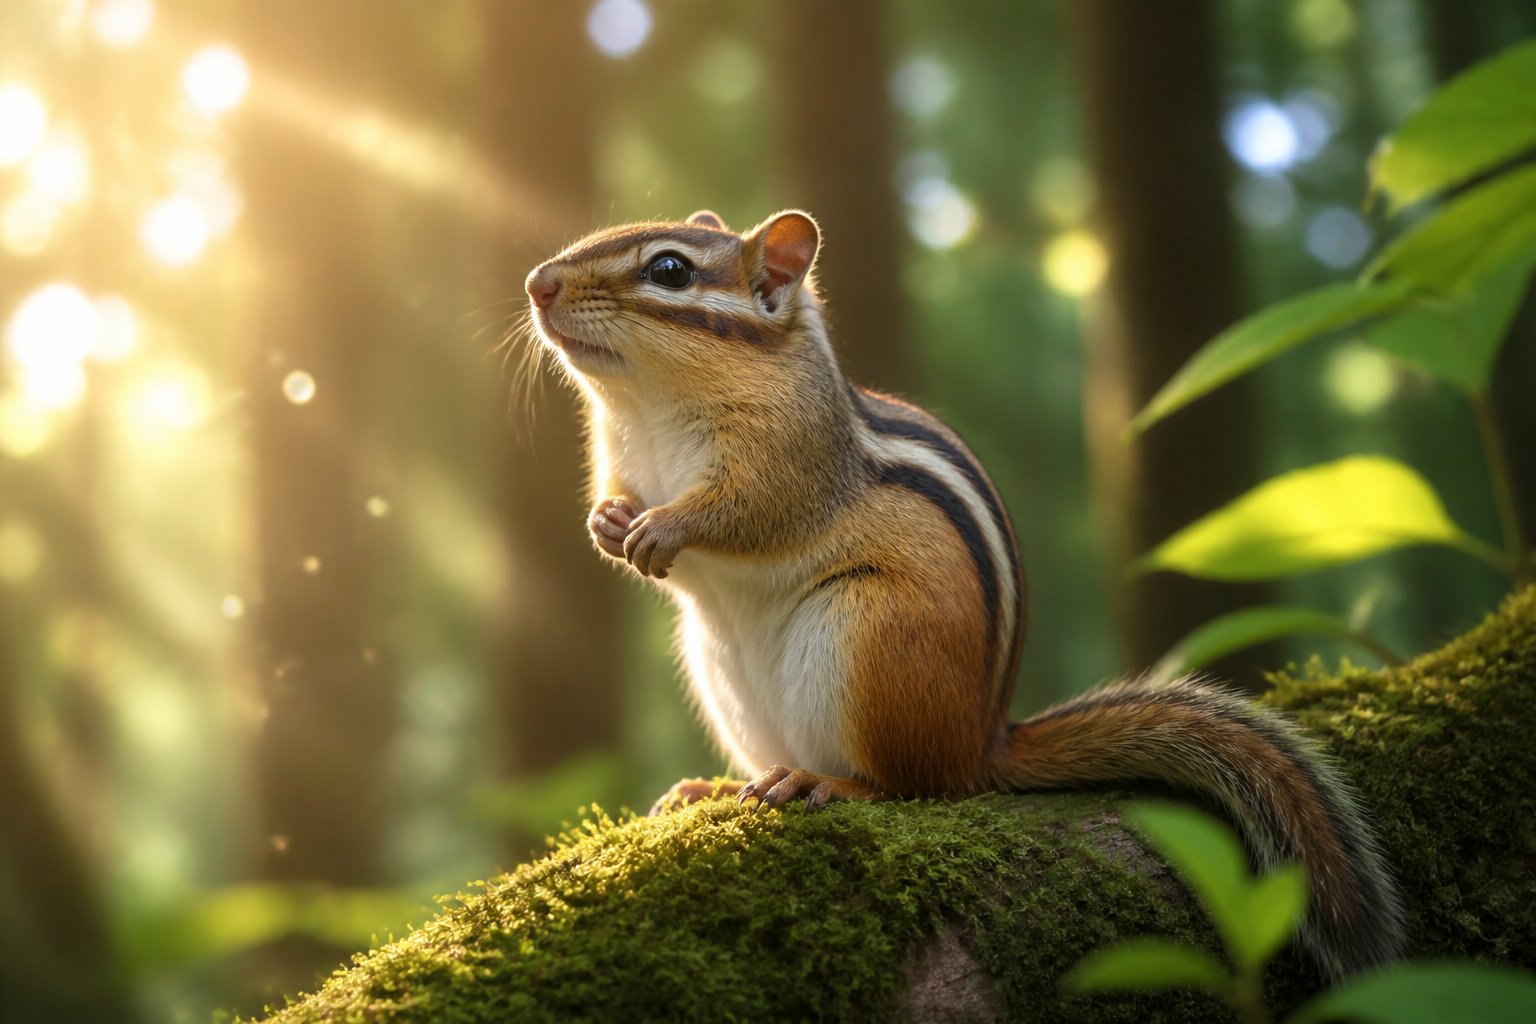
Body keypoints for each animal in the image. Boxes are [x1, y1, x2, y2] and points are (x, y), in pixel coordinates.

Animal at [523, 208, 1405, 980]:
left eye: (670, 270)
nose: (537, 281)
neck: (650, 405)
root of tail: (984, 741)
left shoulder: (792, 460)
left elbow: (748, 512)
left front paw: (664, 529)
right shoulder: (621, 459)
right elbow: (620, 504)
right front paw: (609, 524)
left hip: (866, 633)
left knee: (918, 787)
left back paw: (830, 783)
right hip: (719, 667)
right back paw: (717, 786)